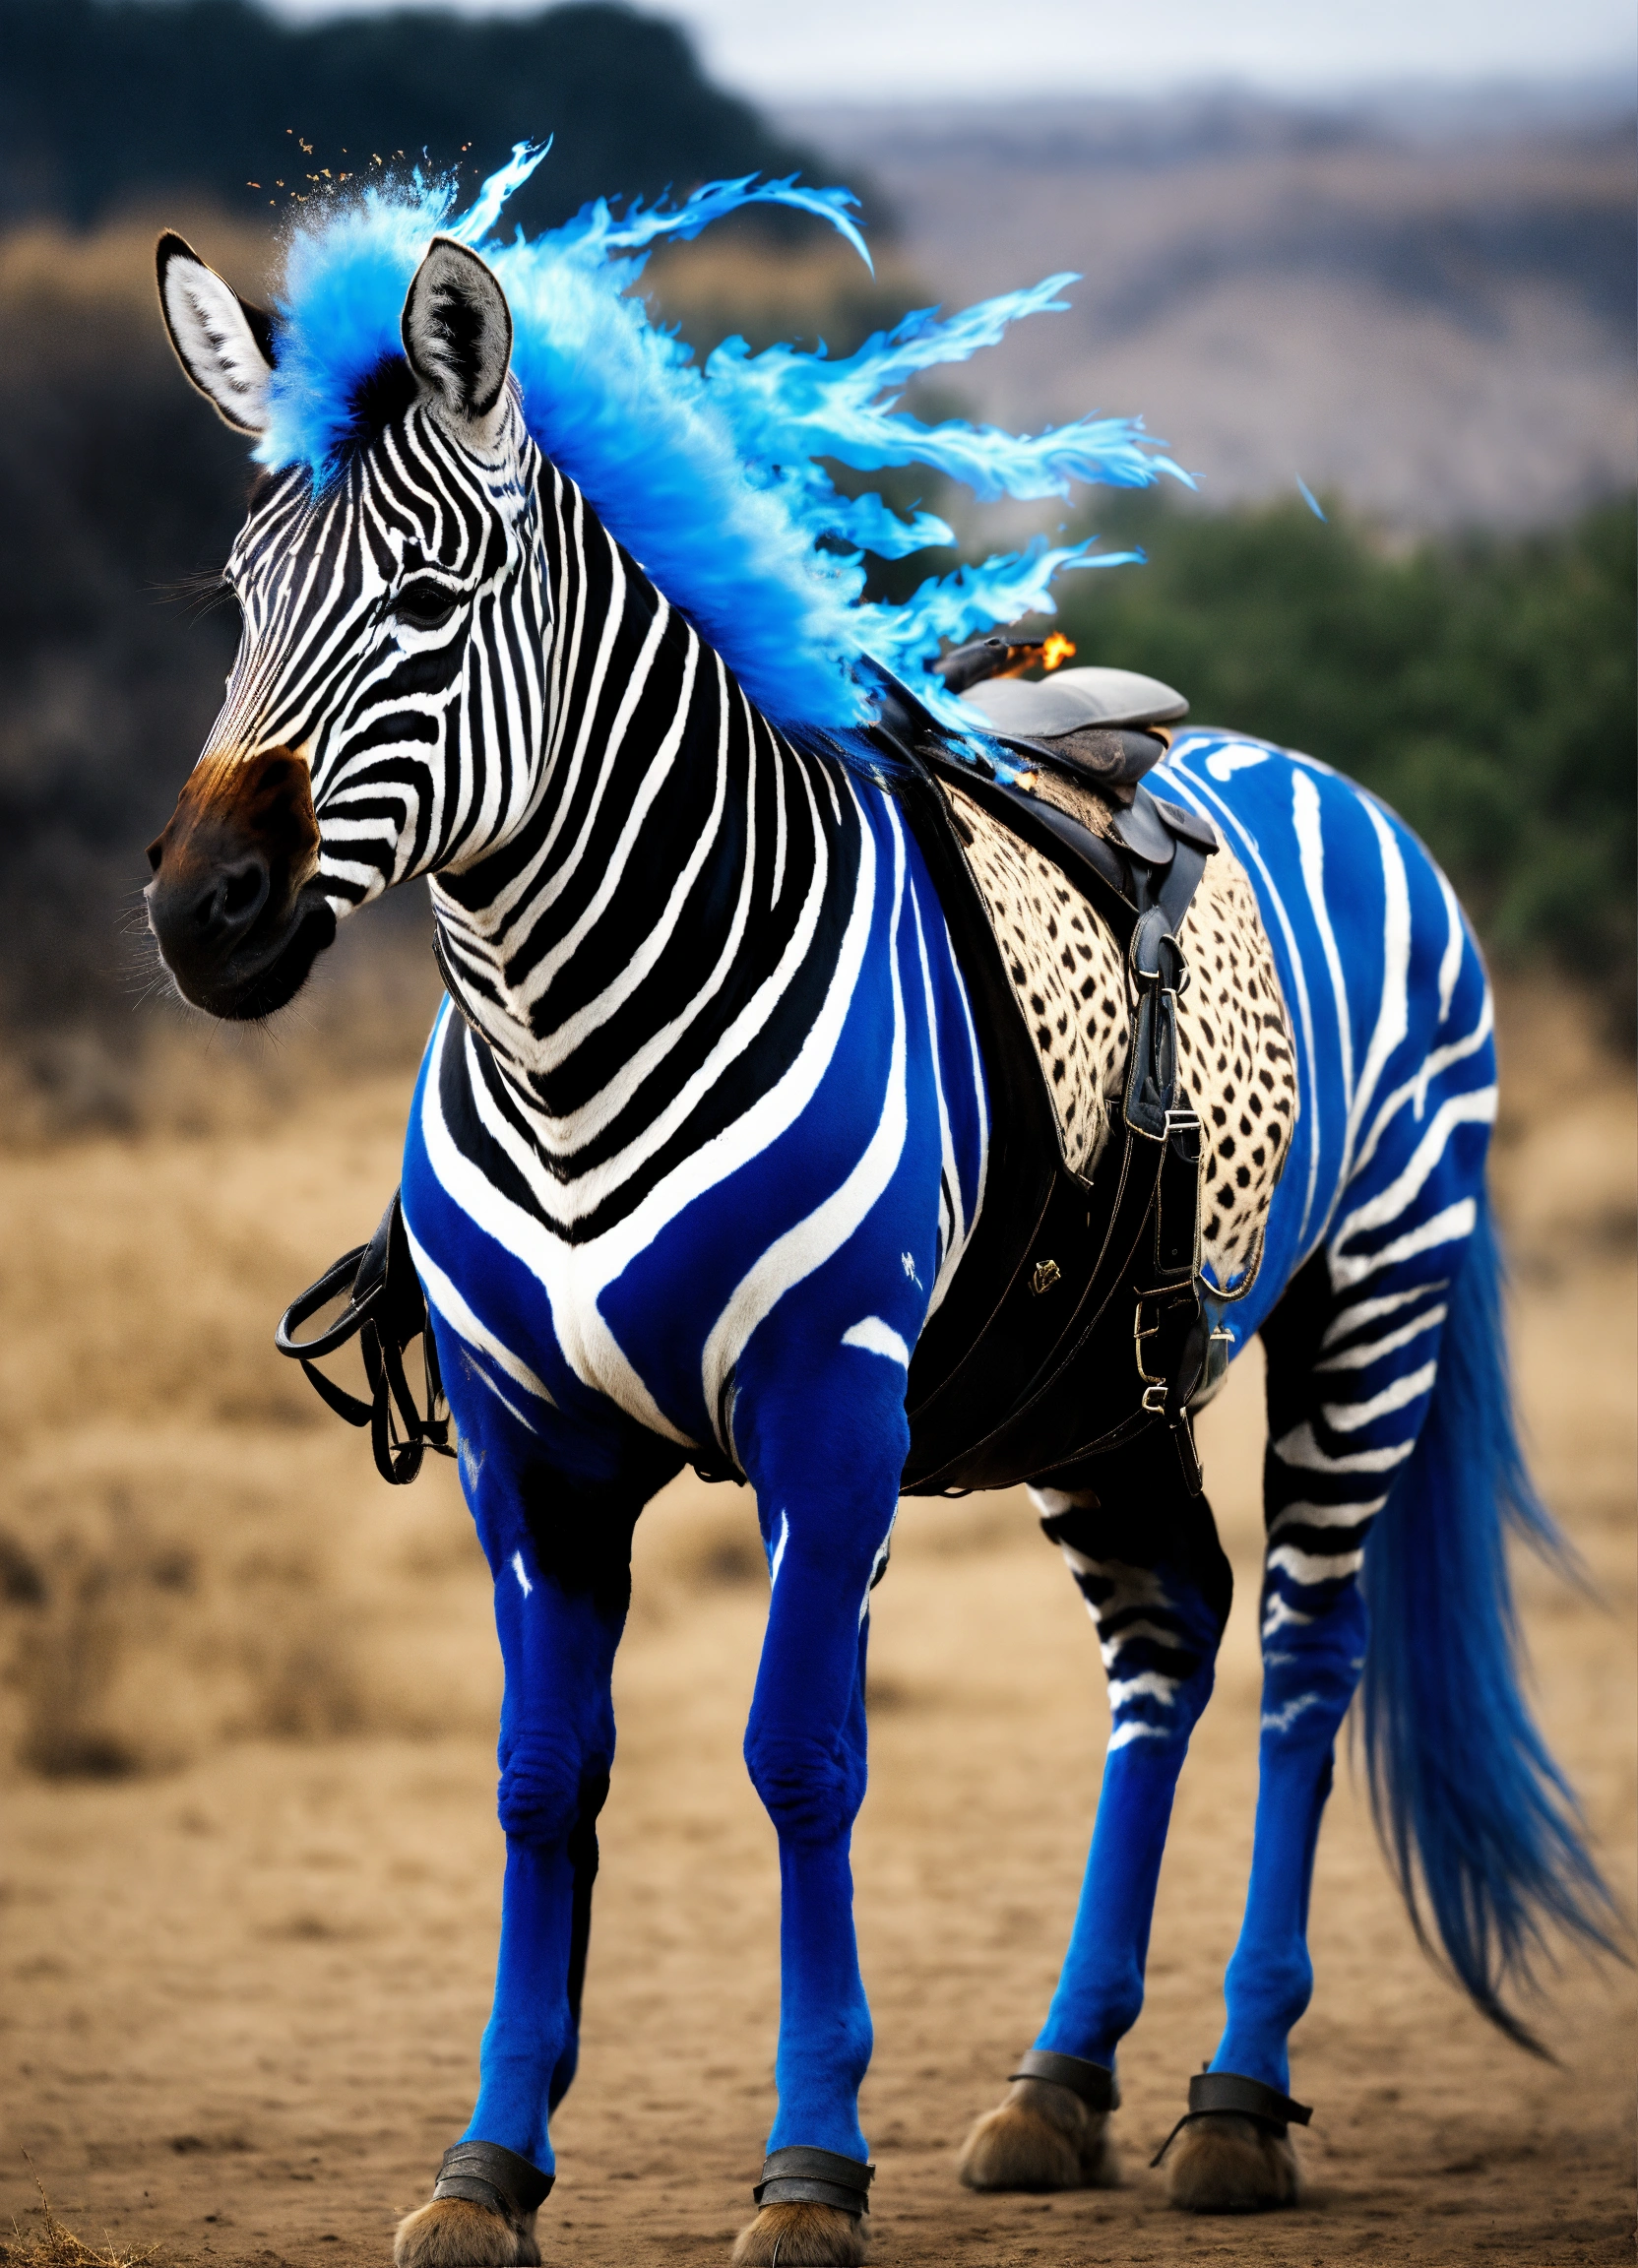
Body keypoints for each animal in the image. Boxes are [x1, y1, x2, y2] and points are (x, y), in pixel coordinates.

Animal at [145, 193, 1612, 2267]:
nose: (204, 915)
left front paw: (809, 2166)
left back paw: (1231, 2096)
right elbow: (534, 1779)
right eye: (238, 599)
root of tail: (1324, 777)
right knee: (1165, 1632)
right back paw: (1059, 2078)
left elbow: (800, 1755)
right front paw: (487, 2163)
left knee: (1304, 1662)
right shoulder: (526, 1443)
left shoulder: (824, 1403)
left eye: (428, 600)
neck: (567, 1036)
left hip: (1371, 1299)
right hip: (1094, 1382)